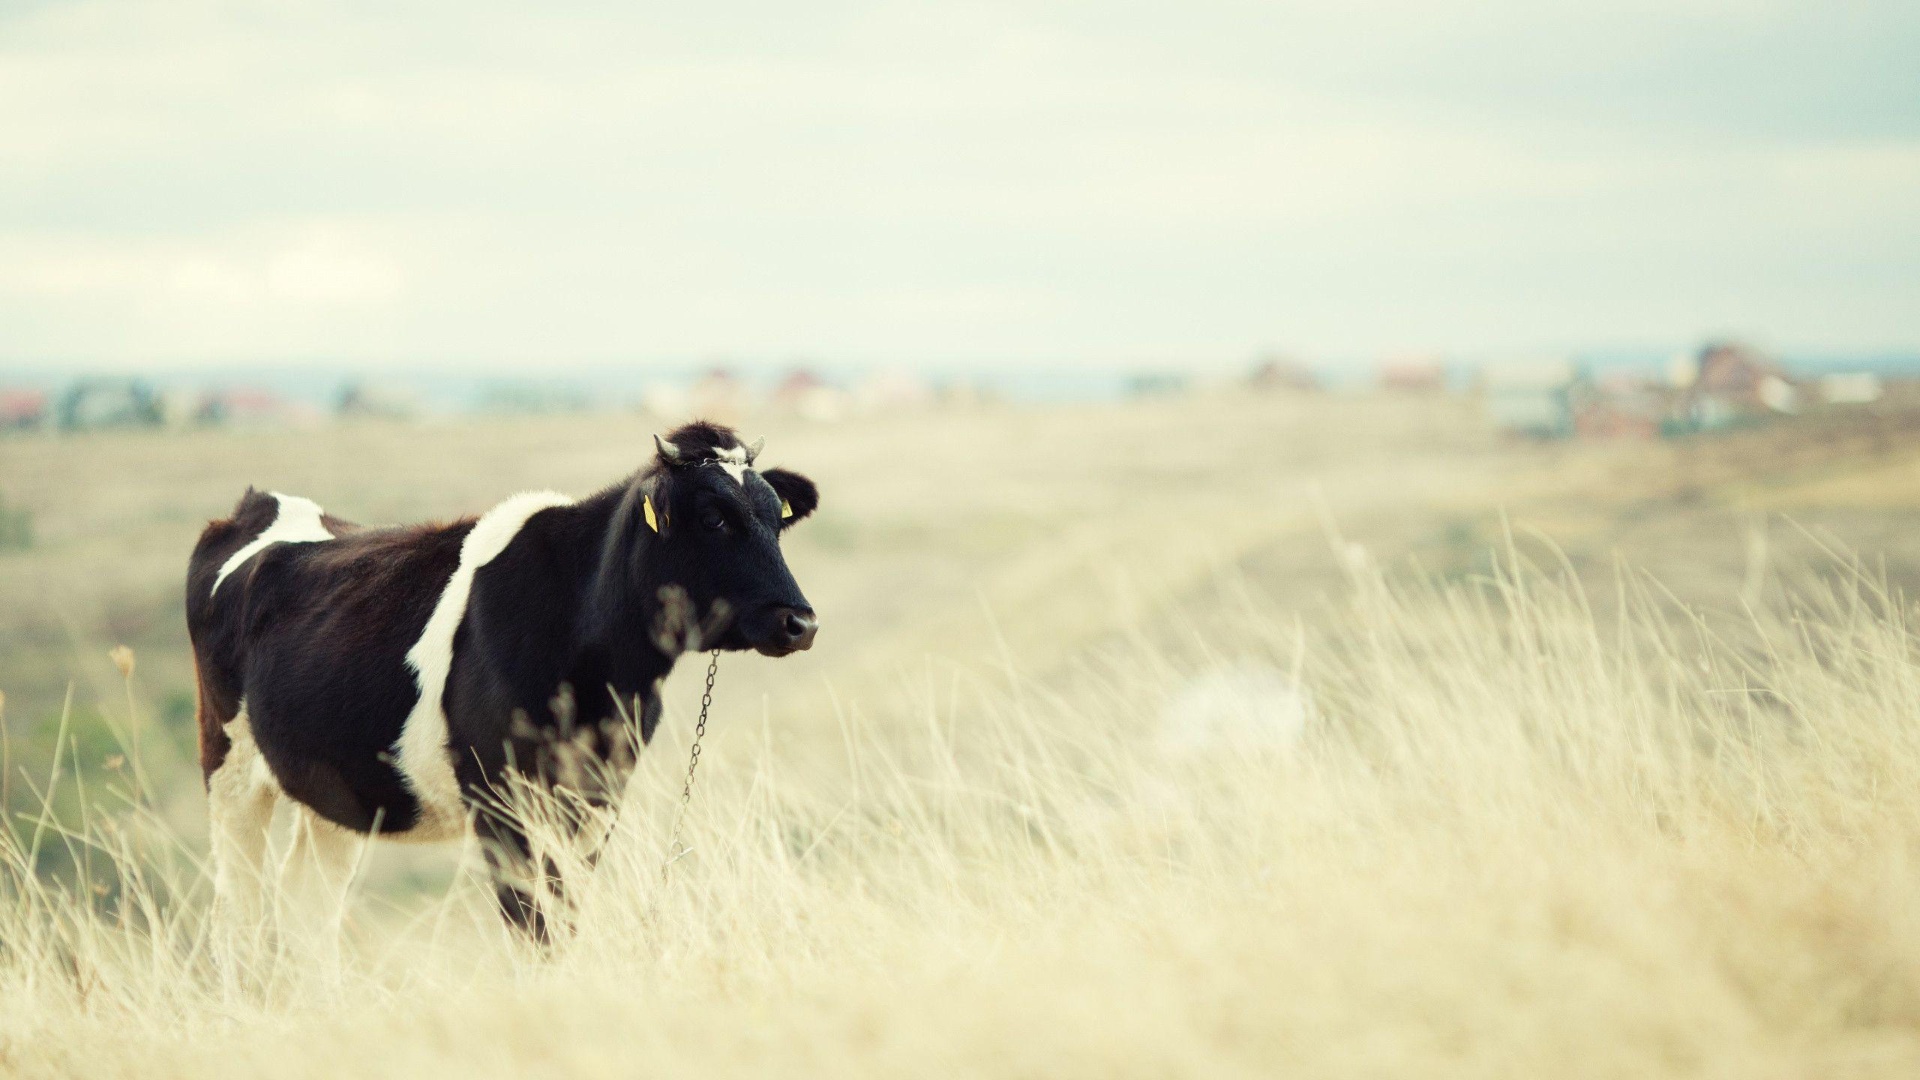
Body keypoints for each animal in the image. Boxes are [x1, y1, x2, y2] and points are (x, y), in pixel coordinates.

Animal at [185, 421, 819, 939]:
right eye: (714, 517)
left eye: (776, 520)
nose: (801, 622)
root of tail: (259, 504)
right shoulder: (498, 794)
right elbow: (531, 922)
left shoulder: (598, 793)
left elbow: (563, 915)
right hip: (231, 770)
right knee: (237, 915)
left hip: (335, 791)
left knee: (307, 906)